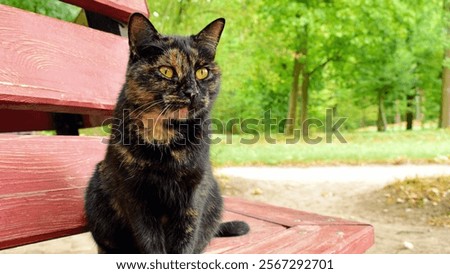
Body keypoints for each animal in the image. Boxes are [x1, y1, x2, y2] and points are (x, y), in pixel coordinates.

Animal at [84, 12, 250, 253]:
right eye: (166, 71)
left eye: (202, 72)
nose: (191, 92)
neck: (166, 139)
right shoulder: (134, 194)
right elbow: (149, 241)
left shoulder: (194, 190)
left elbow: (186, 237)